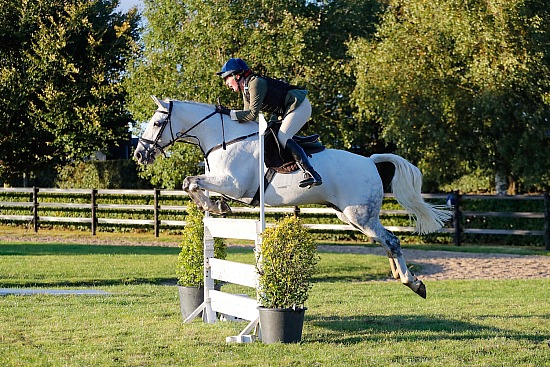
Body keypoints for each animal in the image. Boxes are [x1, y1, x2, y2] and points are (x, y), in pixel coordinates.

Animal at [135, 95, 452, 300]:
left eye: (156, 123)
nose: (139, 154)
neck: (221, 138)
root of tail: (370, 161)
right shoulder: (222, 182)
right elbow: (194, 185)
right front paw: (215, 205)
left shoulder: (235, 185)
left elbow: (191, 181)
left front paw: (214, 205)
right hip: (351, 216)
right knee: (386, 241)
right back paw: (401, 277)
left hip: (359, 215)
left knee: (392, 240)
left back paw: (414, 283)